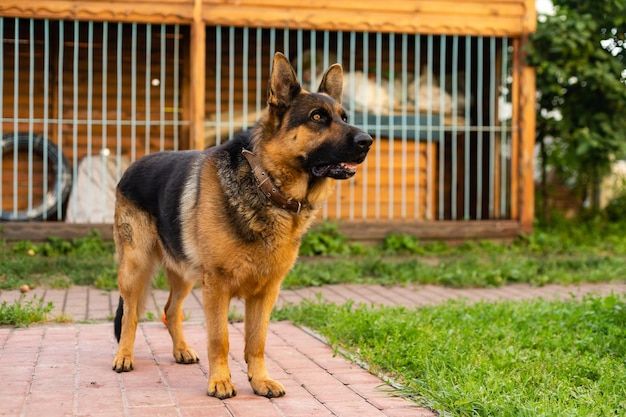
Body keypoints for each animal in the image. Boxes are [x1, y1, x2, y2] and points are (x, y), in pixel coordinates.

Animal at [112, 52, 370, 400]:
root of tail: (132, 166)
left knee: (170, 309)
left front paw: (260, 381)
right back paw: (124, 356)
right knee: (130, 313)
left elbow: (256, 342)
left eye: (343, 117)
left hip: (184, 276)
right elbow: (219, 339)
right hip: (136, 267)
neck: (266, 183)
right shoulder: (216, 287)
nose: (368, 141)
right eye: (317, 117)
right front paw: (220, 382)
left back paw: (181, 350)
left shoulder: (266, 292)